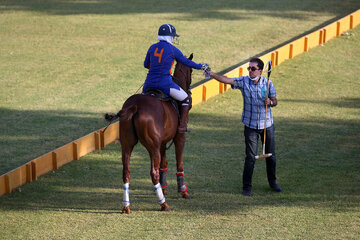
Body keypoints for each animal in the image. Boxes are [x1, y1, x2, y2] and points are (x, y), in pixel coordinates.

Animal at [104, 53, 194, 213]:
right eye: (191, 71)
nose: (189, 90)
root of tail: (134, 106)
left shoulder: (163, 142)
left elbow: (164, 164)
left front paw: (164, 189)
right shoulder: (179, 137)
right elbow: (179, 162)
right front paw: (183, 191)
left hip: (127, 144)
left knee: (126, 172)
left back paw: (126, 206)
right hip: (152, 146)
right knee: (153, 172)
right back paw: (163, 204)